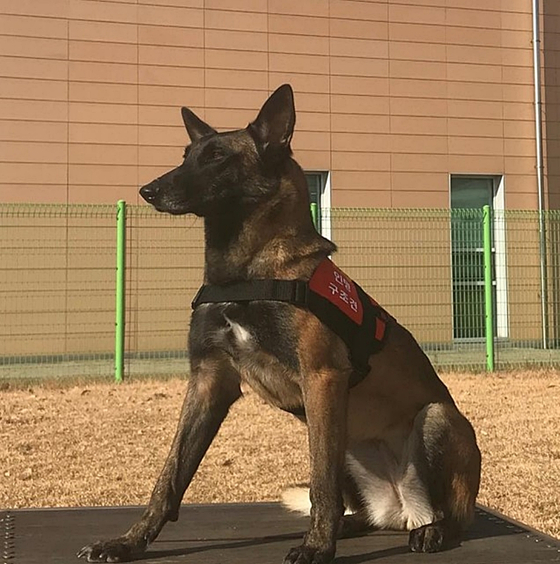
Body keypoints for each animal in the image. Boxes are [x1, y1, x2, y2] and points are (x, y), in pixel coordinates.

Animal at [77, 85, 482, 564]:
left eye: (217, 156)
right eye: (186, 155)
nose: (148, 190)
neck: (248, 274)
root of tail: (403, 511)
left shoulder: (322, 378)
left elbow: (320, 484)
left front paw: (316, 547)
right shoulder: (209, 381)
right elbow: (170, 476)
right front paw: (129, 541)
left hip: (435, 419)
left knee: (453, 513)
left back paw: (434, 531)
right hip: (343, 438)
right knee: (355, 508)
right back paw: (351, 526)